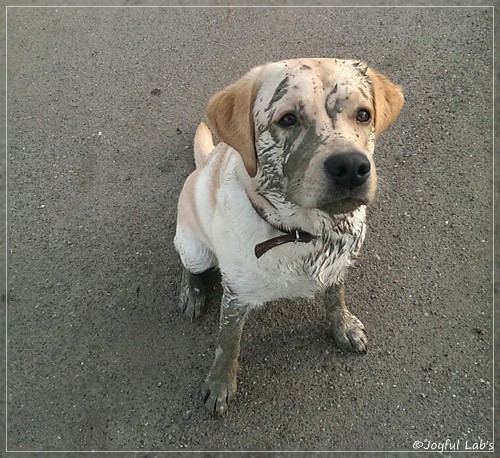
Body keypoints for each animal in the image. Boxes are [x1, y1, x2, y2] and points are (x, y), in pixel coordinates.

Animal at [174, 57, 404, 416]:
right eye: (288, 119)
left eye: (363, 114)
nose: (351, 167)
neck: (303, 234)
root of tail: (205, 163)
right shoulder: (236, 295)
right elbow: (227, 342)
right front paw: (220, 382)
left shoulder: (338, 265)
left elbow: (335, 298)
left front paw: (344, 327)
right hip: (195, 249)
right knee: (189, 265)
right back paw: (193, 293)